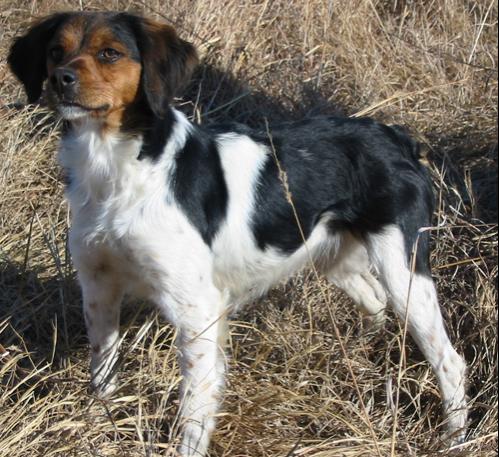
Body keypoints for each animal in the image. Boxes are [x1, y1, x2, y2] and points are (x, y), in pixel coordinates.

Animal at [7, 11, 468, 456]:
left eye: (110, 53)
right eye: (55, 51)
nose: (60, 79)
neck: (115, 166)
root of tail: (395, 137)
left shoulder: (196, 308)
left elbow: (195, 405)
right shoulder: (98, 286)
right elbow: (102, 368)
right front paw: (98, 418)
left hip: (403, 270)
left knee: (449, 359)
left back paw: (455, 437)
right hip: (334, 257)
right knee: (374, 302)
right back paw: (358, 353)